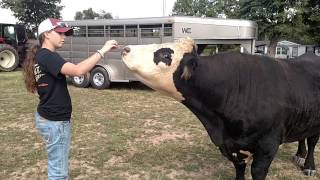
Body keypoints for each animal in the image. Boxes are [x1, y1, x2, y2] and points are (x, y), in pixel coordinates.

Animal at [120, 37, 320, 179]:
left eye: (165, 55)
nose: (126, 49)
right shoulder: (232, 145)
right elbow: (239, 169)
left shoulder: (267, 144)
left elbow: (257, 171)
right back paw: (300, 154)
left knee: (312, 141)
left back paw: (309, 166)